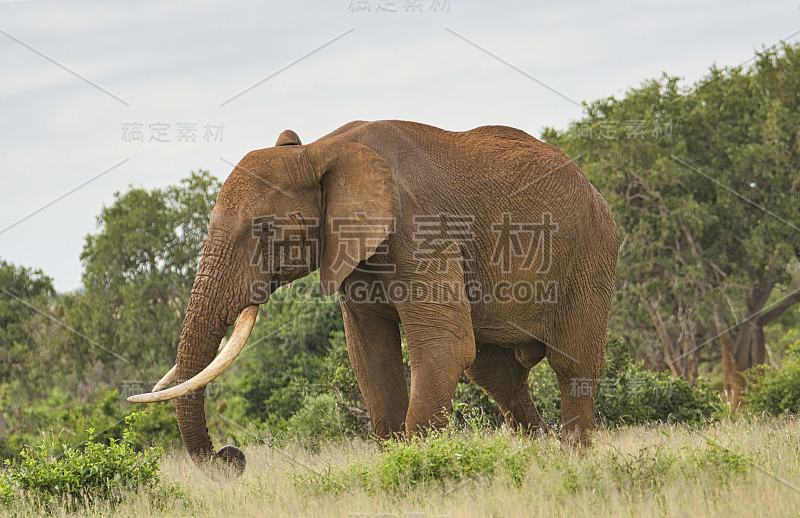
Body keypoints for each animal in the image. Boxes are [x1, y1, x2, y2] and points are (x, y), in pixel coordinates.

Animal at [130, 120, 620, 478]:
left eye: (265, 229)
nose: (232, 457)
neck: (322, 149)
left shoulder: (424, 231)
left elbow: (443, 349)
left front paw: (421, 470)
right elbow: (370, 357)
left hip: (589, 255)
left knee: (572, 365)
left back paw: (573, 466)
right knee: (496, 372)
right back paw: (541, 458)